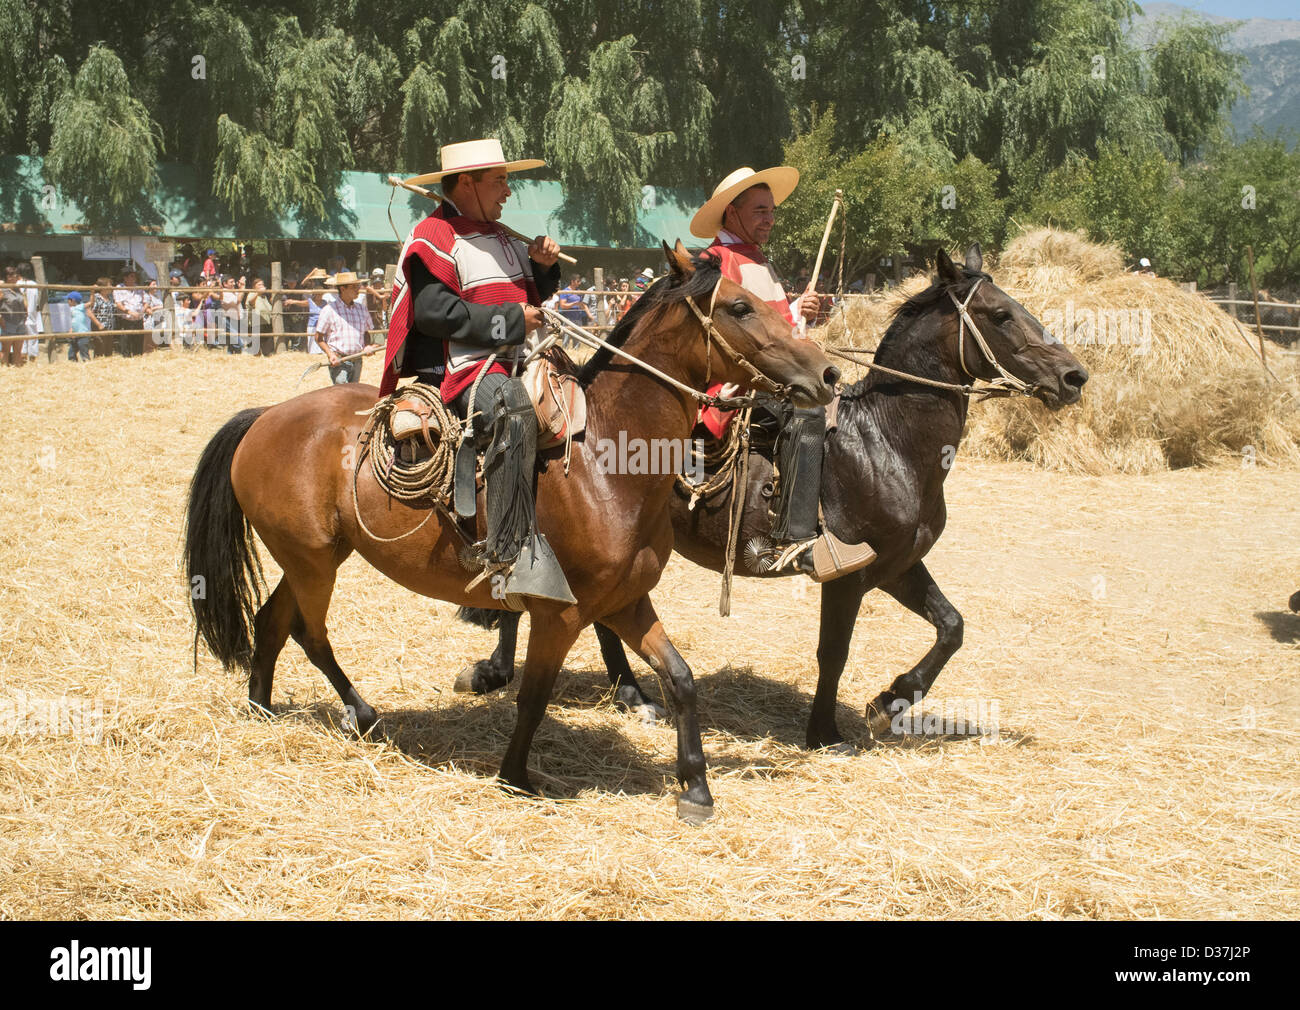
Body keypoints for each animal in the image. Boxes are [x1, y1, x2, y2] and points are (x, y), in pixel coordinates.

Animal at [183, 244, 837, 821]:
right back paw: (361, 711)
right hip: (313, 563)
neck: (605, 460)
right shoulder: (561, 614)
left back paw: (262, 707)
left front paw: (696, 787)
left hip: (311, 559)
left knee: (273, 622)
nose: (826, 370)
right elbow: (535, 694)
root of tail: (263, 419)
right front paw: (516, 775)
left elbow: (680, 679)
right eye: (740, 307)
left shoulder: (624, 601)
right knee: (309, 634)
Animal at [457, 244, 1086, 748]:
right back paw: (500, 671)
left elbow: (951, 626)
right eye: (1001, 314)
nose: (1074, 376)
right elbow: (833, 652)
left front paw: (891, 700)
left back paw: (631, 693)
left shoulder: (900, 565)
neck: (885, 440)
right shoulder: (848, 577)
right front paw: (825, 731)